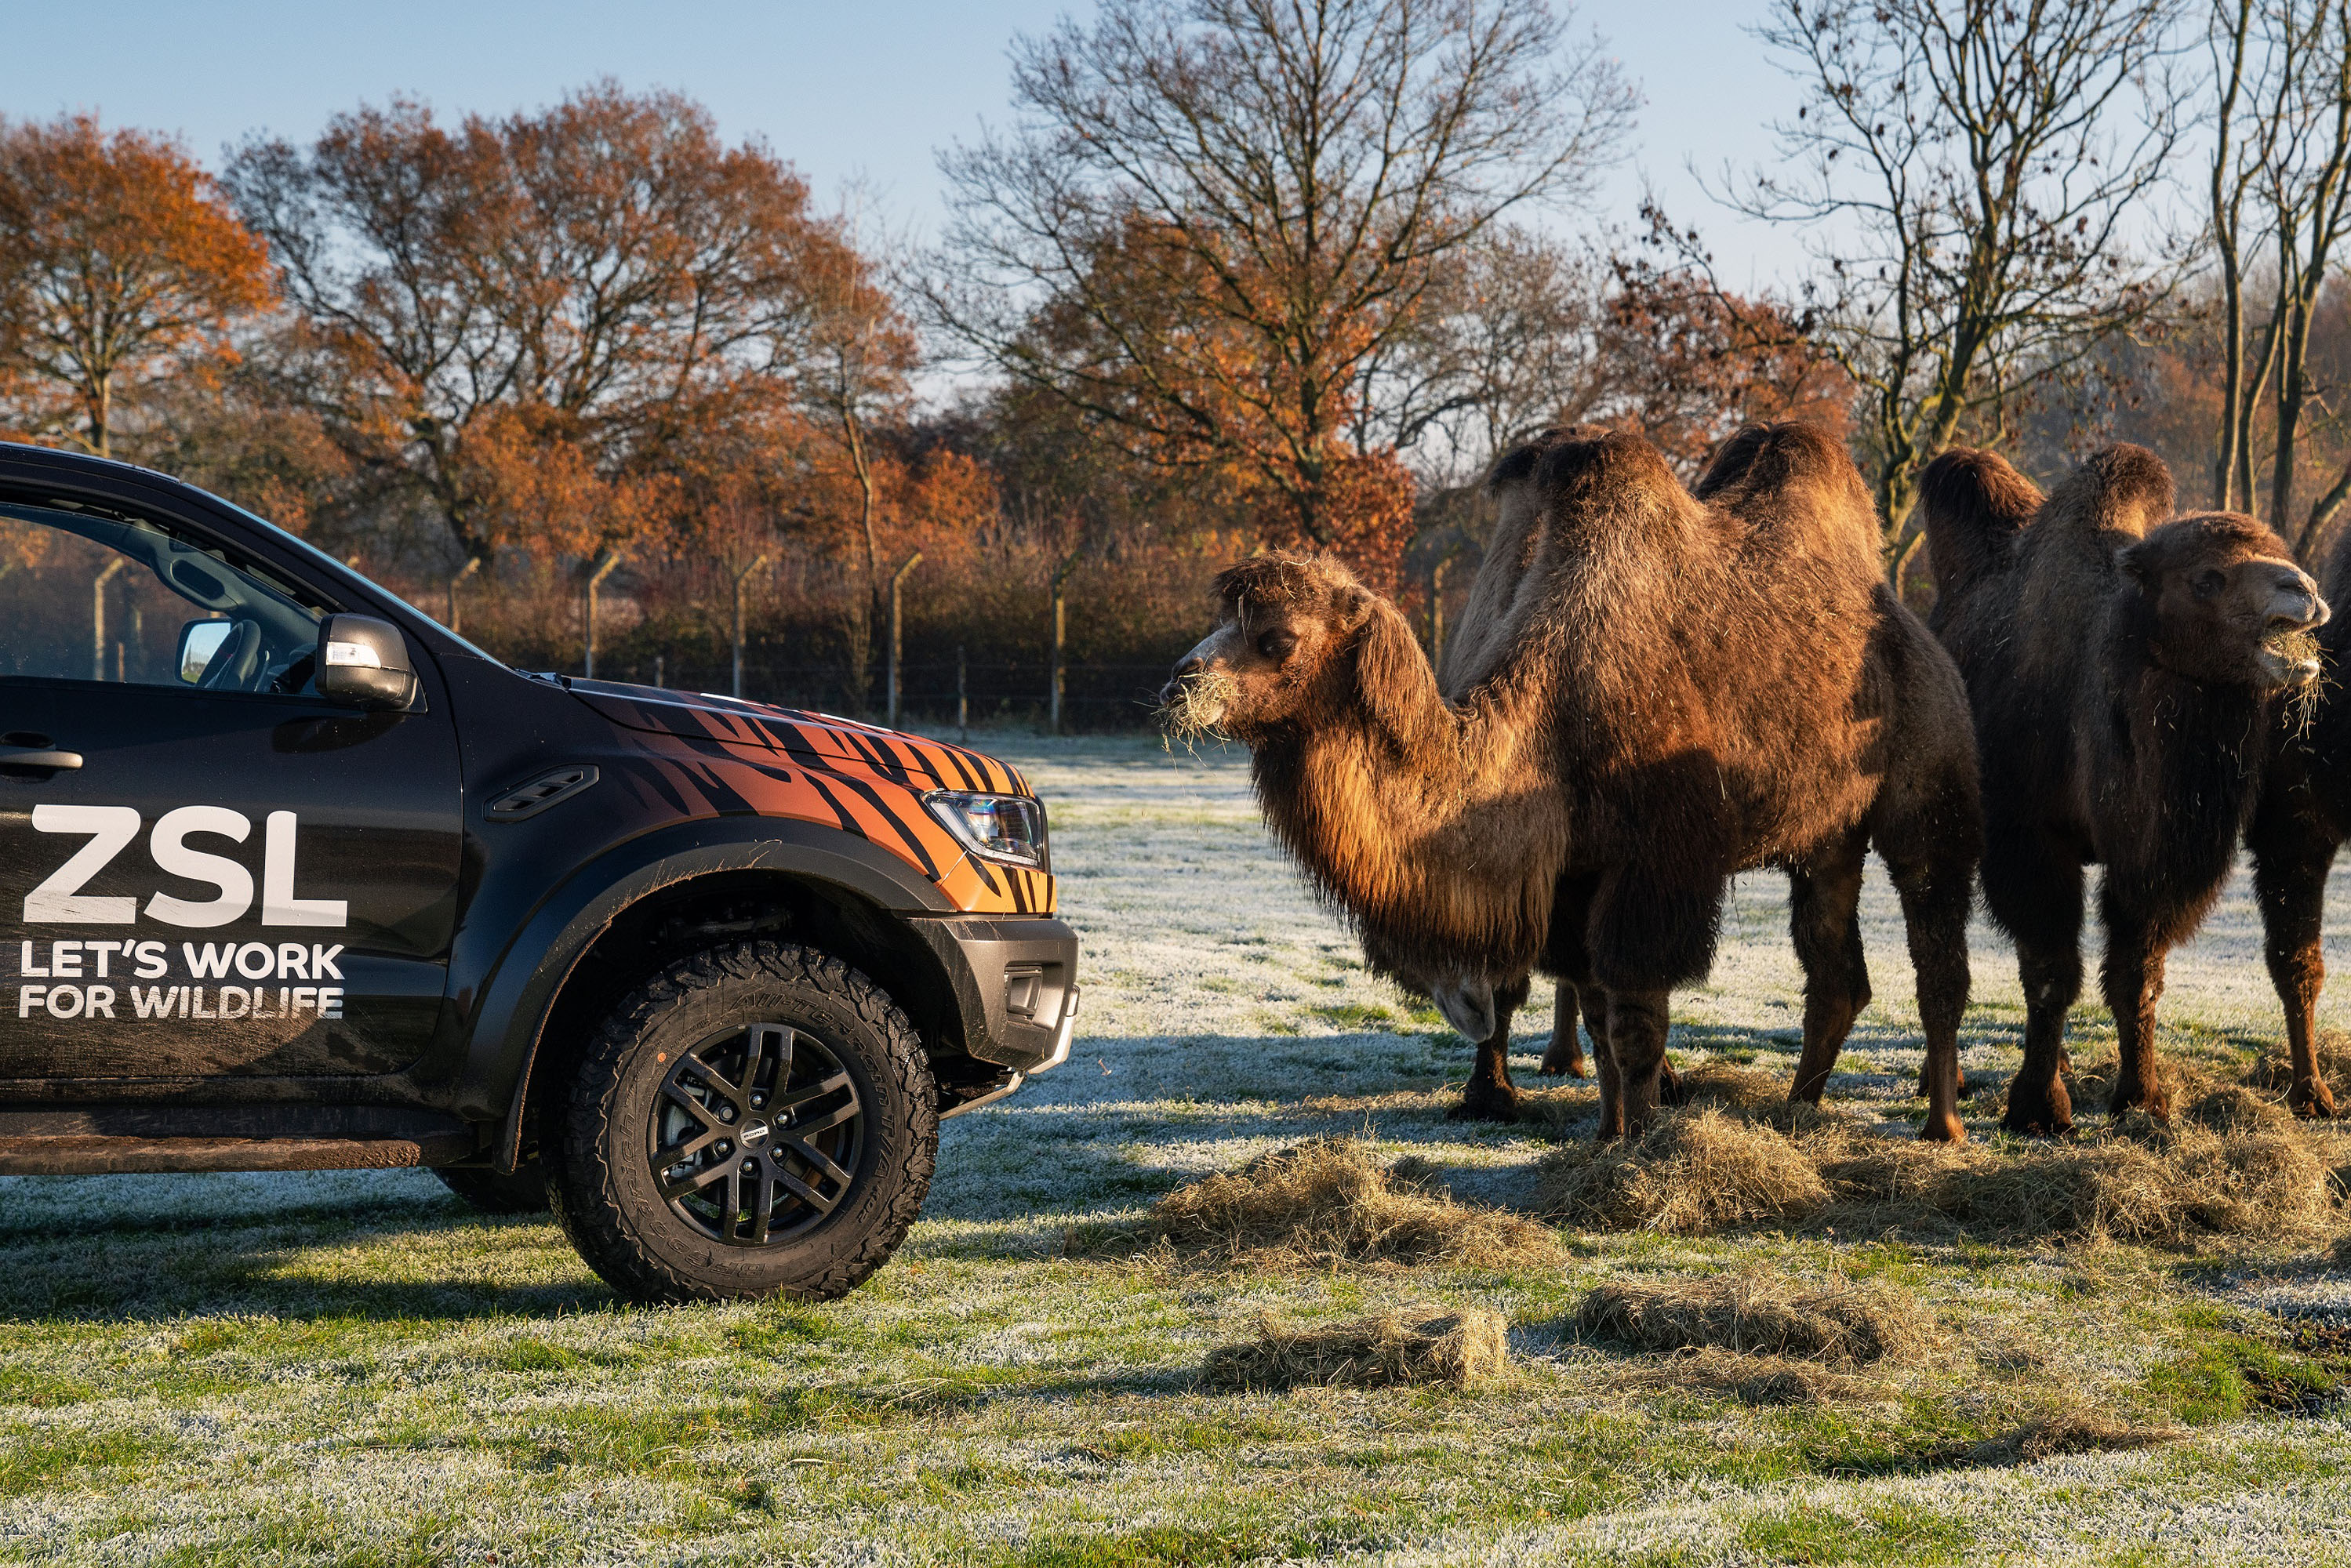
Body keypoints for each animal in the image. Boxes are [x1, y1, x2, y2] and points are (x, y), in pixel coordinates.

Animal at [1157, 425, 1984, 1142]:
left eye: (1277, 640)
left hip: (1930, 775)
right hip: (1826, 834)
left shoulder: (1654, 869)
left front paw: (1640, 1147)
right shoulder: (1573, 876)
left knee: (1935, 940)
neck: (1552, 713)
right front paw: (1607, 1133)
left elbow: (1636, 1023)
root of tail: (1906, 617)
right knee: (1835, 969)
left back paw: (1942, 1125)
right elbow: (1594, 1013)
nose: (1178, 681)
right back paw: (1795, 1110)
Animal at [1918, 446, 2323, 1133]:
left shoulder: (2148, 857)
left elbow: (2137, 974)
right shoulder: (2030, 839)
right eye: (2207, 578)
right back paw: (1944, 1083)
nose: (2305, 591)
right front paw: (2038, 1108)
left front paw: (2141, 1099)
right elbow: (2051, 972)